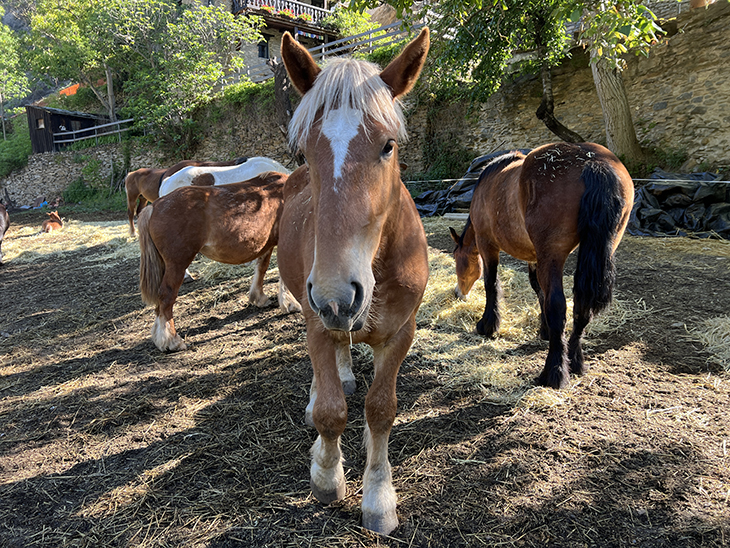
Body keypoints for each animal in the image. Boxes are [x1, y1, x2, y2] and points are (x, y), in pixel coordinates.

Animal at [135, 171, 298, 352]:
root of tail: (154, 206)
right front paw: (290, 304)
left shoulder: (267, 245)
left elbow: (261, 269)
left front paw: (259, 298)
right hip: (176, 265)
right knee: (166, 296)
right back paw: (172, 341)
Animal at [276, 27, 430, 532]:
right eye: (305, 152)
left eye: (388, 145)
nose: (335, 293)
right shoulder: (318, 322)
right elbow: (330, 412)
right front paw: (326, 475)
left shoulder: (401, 333)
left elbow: (381, 410)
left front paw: (378, 495)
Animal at [450, 141, 632, 390]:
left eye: (456, 258)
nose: (457, 293)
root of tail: (593, 163)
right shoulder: (535, 257)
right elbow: (539, 292)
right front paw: (545, 330)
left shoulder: (488, 246)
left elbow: (491, 285)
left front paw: (488, 325)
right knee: (580, 307)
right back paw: (574, 360)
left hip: (552, 254)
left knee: (559, 306)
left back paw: (553, 372)